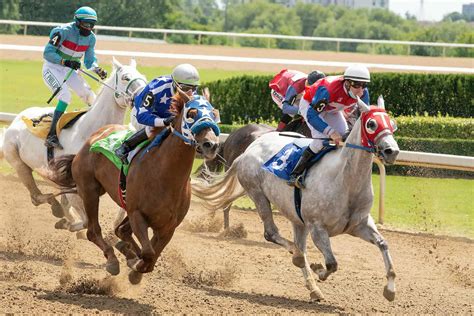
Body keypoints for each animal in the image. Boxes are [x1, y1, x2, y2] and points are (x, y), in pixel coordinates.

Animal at [0, 58, 146, 232]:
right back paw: (56, 208)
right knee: (36, 196)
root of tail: (17, 119)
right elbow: (85, 220)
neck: (91, 131)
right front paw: (70, 225)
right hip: (18, 162)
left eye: (143, 77)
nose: (145, 96)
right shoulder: (77, 186)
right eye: (125, 77)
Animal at [46, 90, 220, 282]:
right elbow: (148, 253)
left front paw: (134, 263)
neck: (166, 176)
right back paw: (112, 260)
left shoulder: (168, 226)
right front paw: (134, 265)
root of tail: (94, 136)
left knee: (120, 231)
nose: (211, 145)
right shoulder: (137, 214)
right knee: (93, 231)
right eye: (191, 114)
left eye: (214, 114)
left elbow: (151, 256)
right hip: (90, 191)